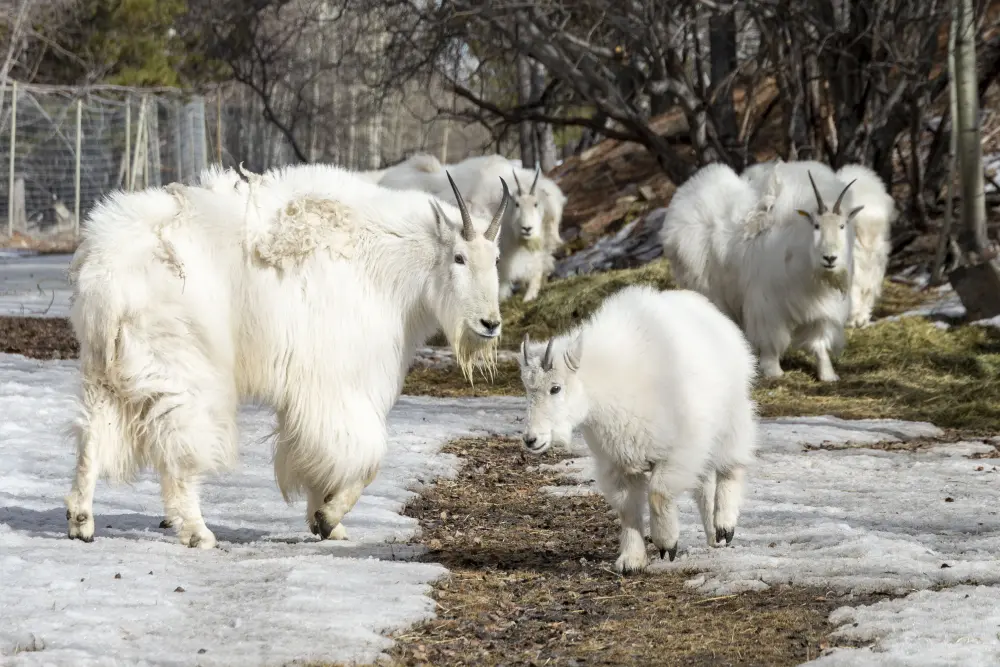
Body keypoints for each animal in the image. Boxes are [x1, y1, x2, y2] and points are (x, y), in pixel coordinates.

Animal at [65, 162, 512, 548]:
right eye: (459, 257)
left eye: (495, 259)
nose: (490, 323)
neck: (386, 263)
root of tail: (107, 277)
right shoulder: (336, 382)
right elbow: (364, 457)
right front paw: (328, 517)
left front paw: (325, 523)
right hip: (184, 370)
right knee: (181, 451)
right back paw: (197, 532)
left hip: (103, 367)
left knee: (92, 436)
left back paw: (81, 521)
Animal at [520, 286, 752, 576]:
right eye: (526, 389)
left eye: (555, 388)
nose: (531, 439)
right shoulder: (617, 462)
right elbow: (627, 508)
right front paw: (631, 560)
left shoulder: (679, 450)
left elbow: (658, 493)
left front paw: (666, 545)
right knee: (704, 485)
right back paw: (713, 537)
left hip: (732, 418)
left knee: (731, 466)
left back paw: (724, 526)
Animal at [660, 160, 864, 380]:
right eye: (816, 225)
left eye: (842, 226)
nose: (830, 258)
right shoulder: (767, 305)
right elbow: (770, 341)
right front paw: (773, 371)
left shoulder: (821, 310)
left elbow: (819, 343)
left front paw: (828, 375)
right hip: (709, 291)